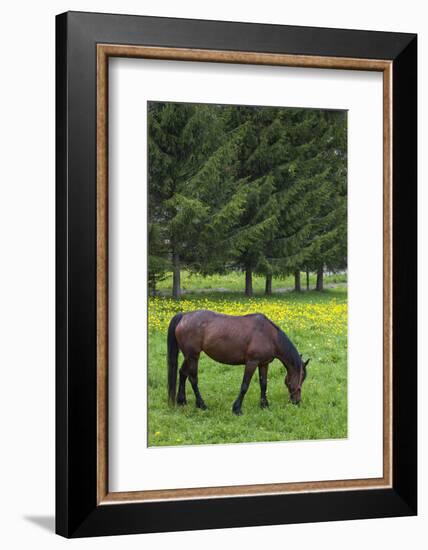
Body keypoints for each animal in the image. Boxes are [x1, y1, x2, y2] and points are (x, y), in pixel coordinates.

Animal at [166, 310, 310, 414]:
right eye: (302, 377)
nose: (297, 401)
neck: (270, 335)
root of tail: (184, 316)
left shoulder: (263, 364)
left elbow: (263, 384)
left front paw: (264, 405)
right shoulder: (252, 363)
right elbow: (244, 385)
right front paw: (237, 409)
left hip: (188, 356)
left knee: (182, 373)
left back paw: (182, 401)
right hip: (193, 356)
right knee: (193, 379)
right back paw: (201, 404)